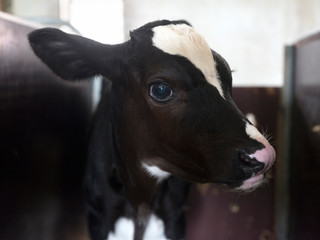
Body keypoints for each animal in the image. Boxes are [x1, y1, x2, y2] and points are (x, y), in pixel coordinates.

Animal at [28, 20, 276, 240]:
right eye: (161, 89)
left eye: (229, 77)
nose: (263, 156)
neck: (140, 200)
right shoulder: (99, 217)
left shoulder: (174, 218)